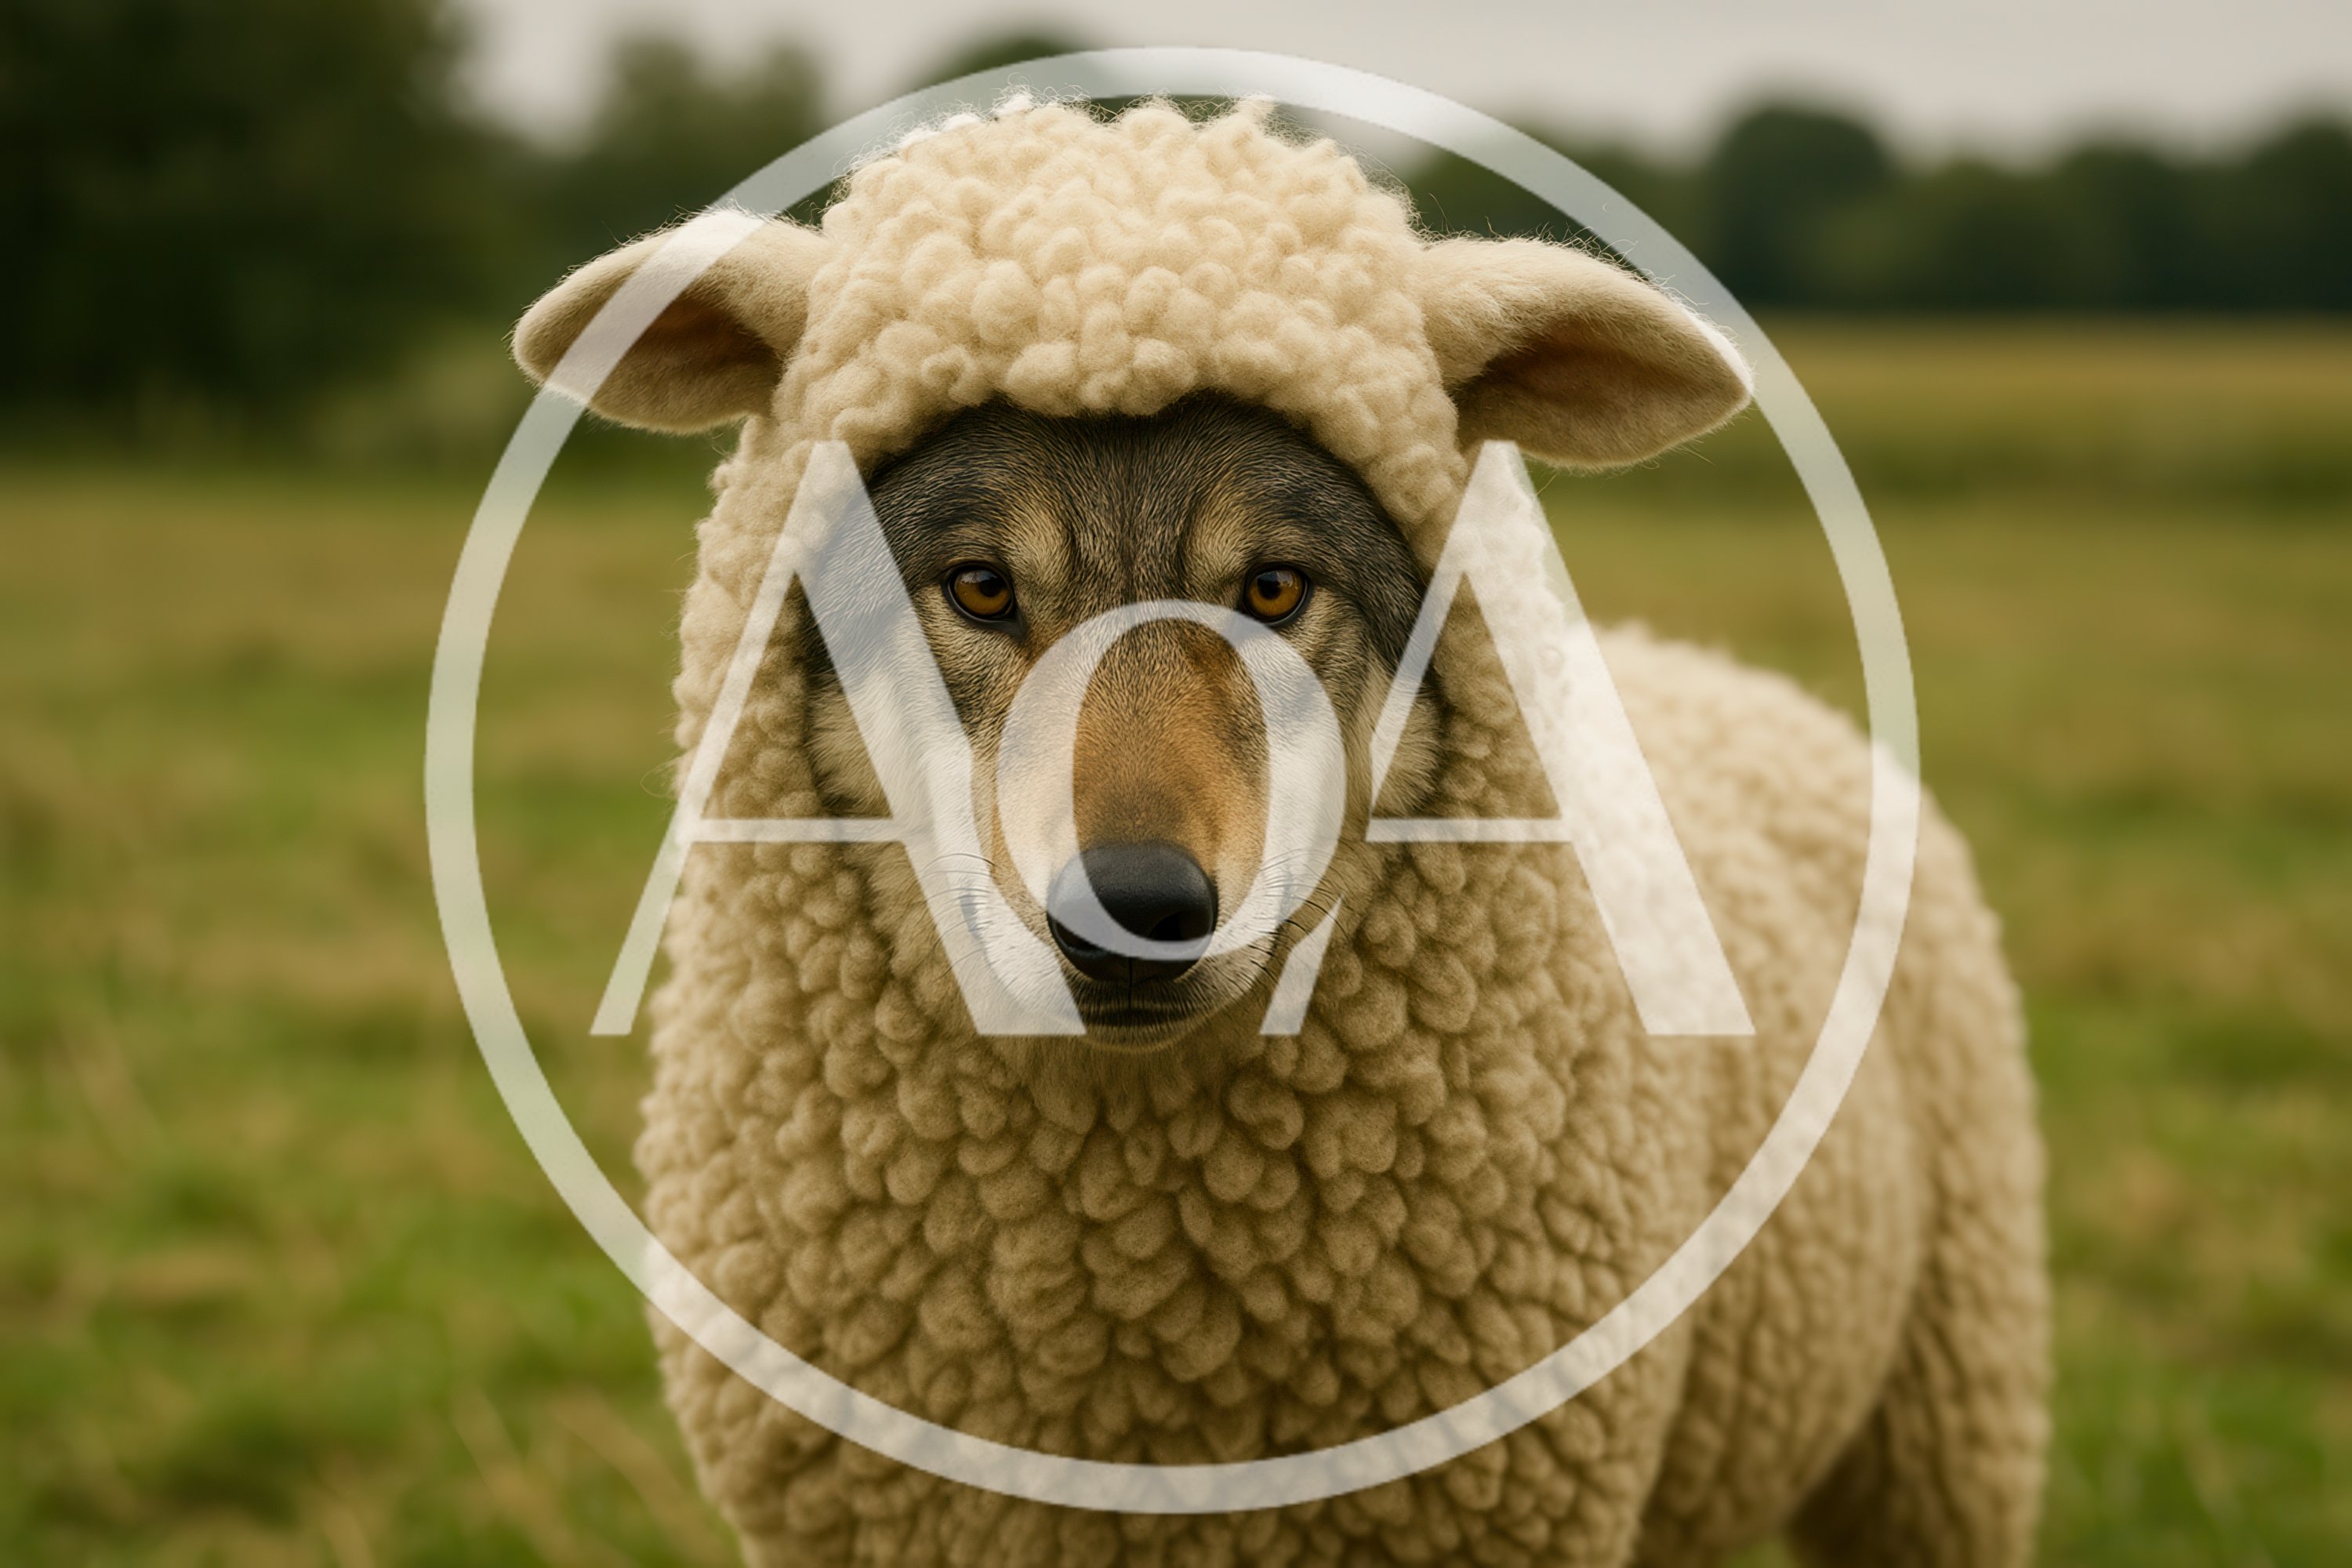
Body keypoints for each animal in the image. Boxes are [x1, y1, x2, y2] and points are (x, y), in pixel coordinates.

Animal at [512, 98, 2049, 1567]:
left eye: (1274, 588)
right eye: (979, 587)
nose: (1131, 910)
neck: (1133, 1302)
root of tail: (1712, 663)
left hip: (1943, 1424)